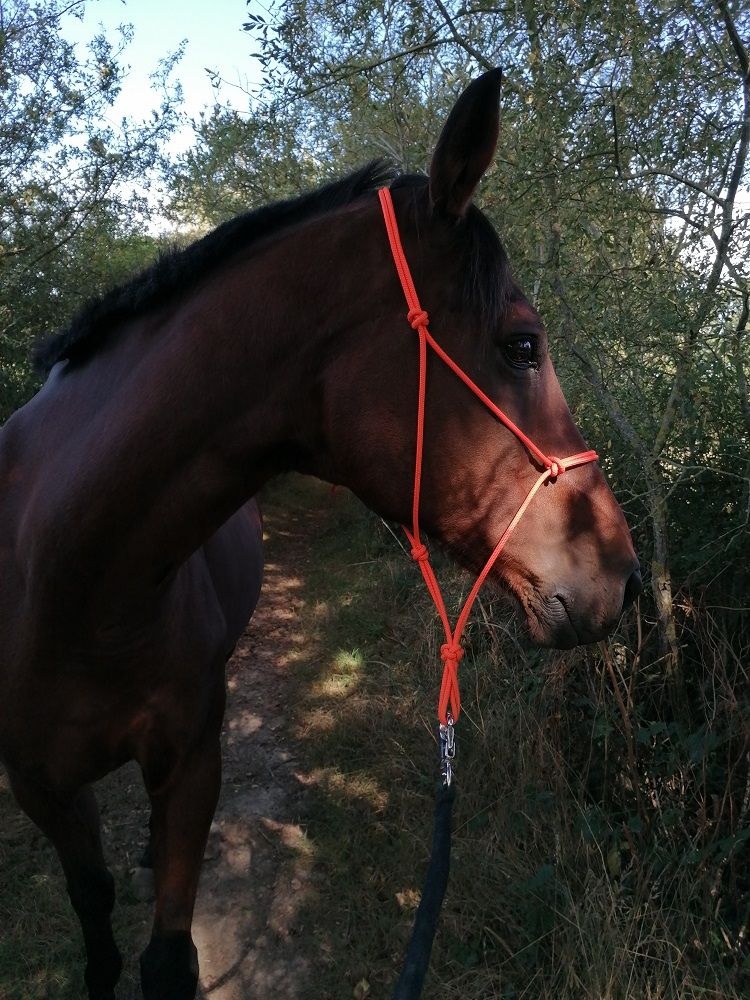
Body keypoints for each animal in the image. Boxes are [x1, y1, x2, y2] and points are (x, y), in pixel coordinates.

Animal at [0, 69, 640, 999]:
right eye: (523, 345)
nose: (624, 575)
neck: (74, 578)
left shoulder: (191, 763)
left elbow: (167, 957)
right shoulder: (39, 784)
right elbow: (98, 931)